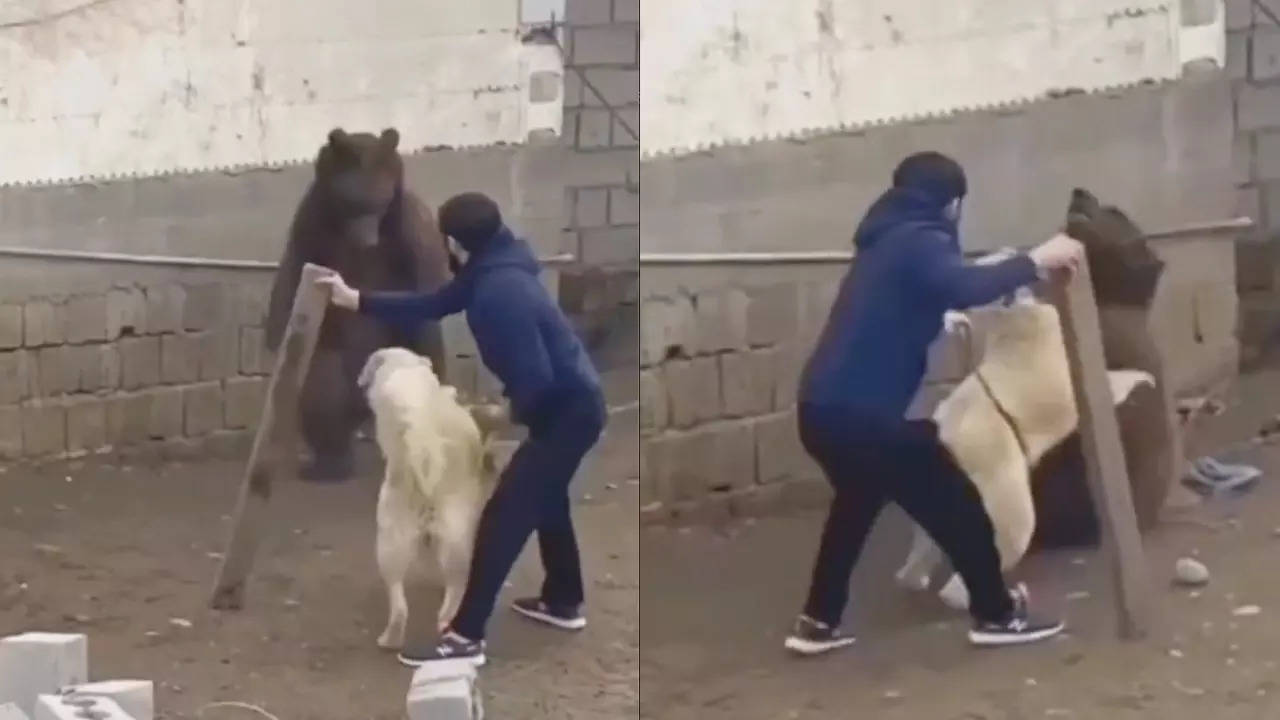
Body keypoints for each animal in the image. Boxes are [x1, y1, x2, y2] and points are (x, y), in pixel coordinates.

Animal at [264, 126, 455, 479]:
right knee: (322, 387)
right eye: (351, 201)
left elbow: (424, 292)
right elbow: (292, 280)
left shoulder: (409, 232)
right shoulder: (313, 226)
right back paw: (330, 462)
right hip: (334, 353)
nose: (367, 239)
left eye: (380, 201)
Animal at [896, 249, 1157, 607]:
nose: (1012, 252)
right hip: (1012, 512)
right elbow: (1116, 379)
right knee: (975, 573)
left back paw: (914, 578)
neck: (1010, 319)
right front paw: (1143, 377)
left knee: (925, 549)